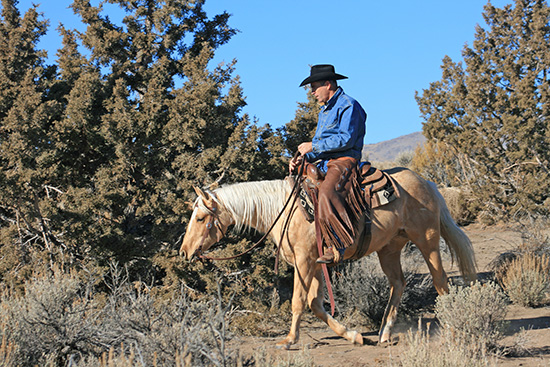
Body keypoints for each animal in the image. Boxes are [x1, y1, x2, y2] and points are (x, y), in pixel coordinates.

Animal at [180, 168, 478, 350]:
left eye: (201, 217)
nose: (184, 251)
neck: (284, 210)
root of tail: (426, 182)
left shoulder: (304, 262)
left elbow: (299, 302)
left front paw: (289, 340)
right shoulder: (314, 264)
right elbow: (315, 303)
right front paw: (354, 335)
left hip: (427, 241)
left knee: (441, 283)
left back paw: (452, 326)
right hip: (389, 249)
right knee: (398, 283)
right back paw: (384, 332)